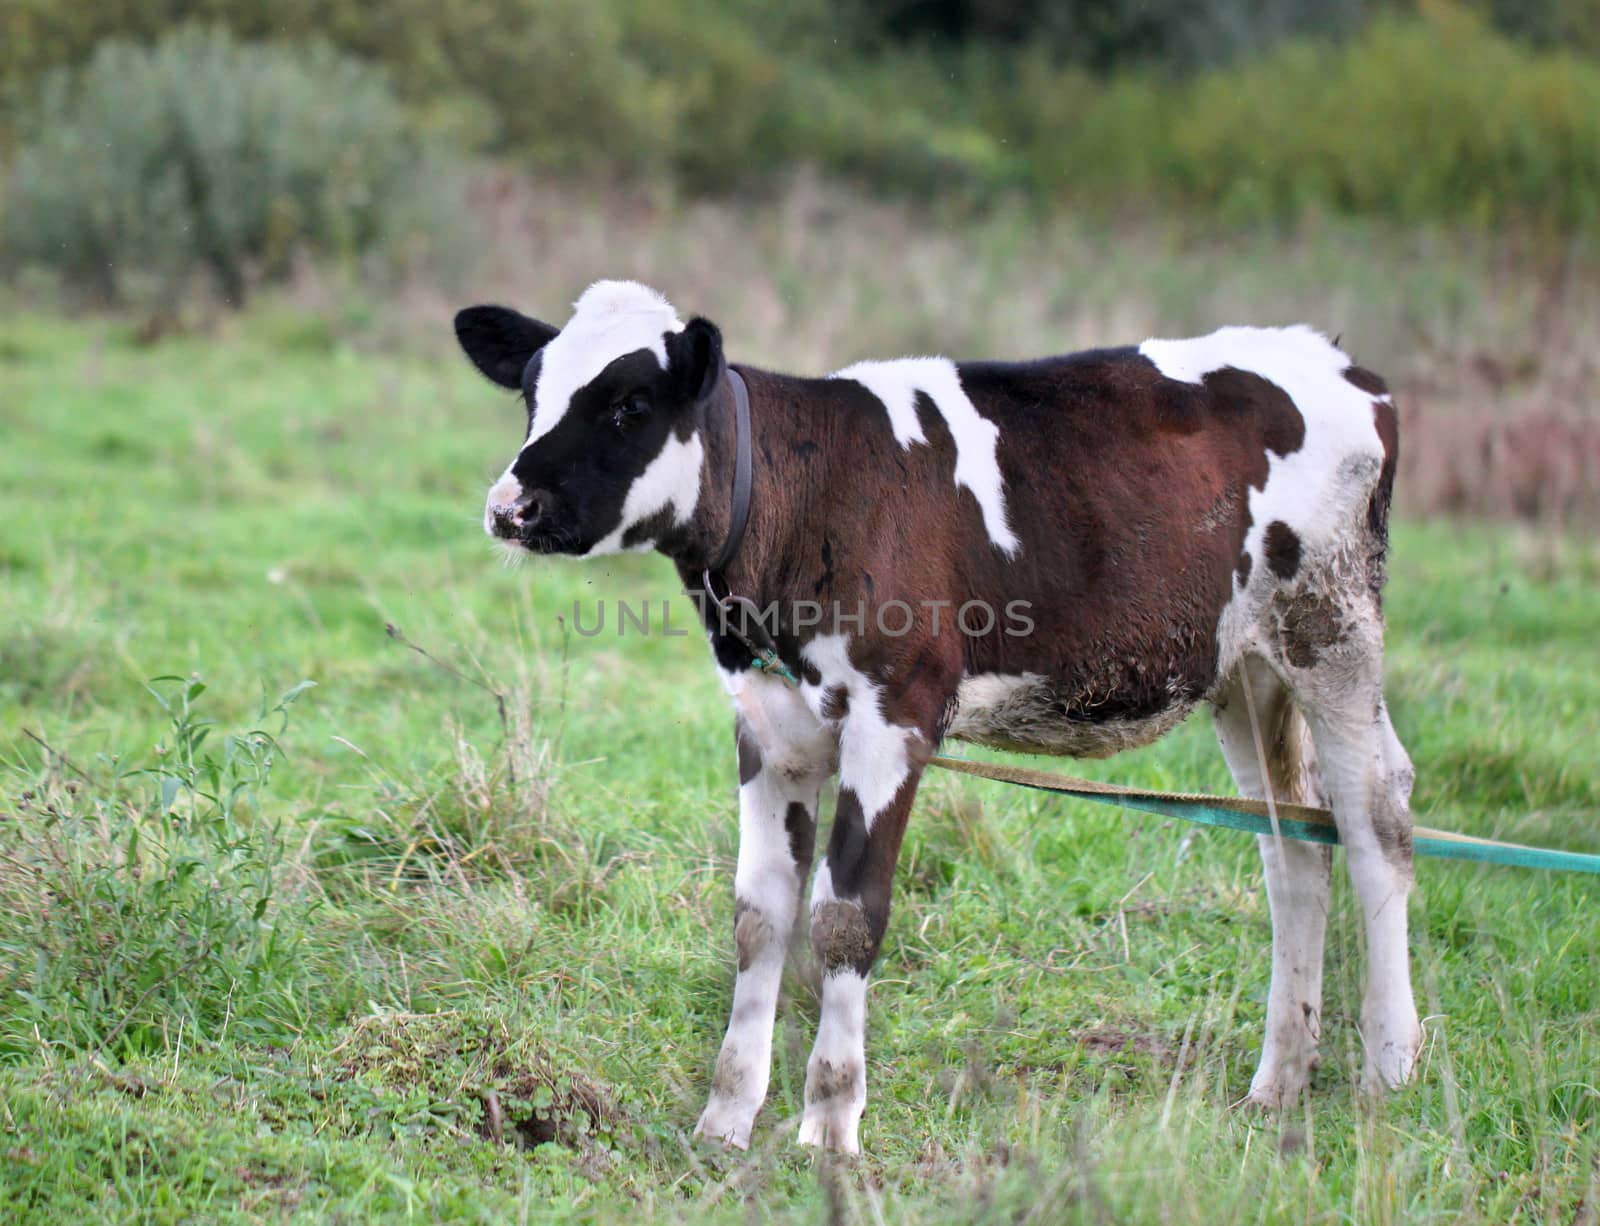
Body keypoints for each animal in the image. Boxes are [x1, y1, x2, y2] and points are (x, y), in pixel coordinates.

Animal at [457, 283, 1420, 1158]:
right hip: (1245, 674)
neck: (806, 501)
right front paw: (725, 1120)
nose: (510, 508)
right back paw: (1279, 1081)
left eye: (631, 405)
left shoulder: (896, 719)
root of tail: (1347, 366)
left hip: (1332, 632)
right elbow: (759, 916)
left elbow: (847, 916)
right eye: (534, 394)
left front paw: (829, 1124)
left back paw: (1388, 1070)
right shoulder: (768, 729)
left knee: (1377, 822)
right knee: (1293, 848)